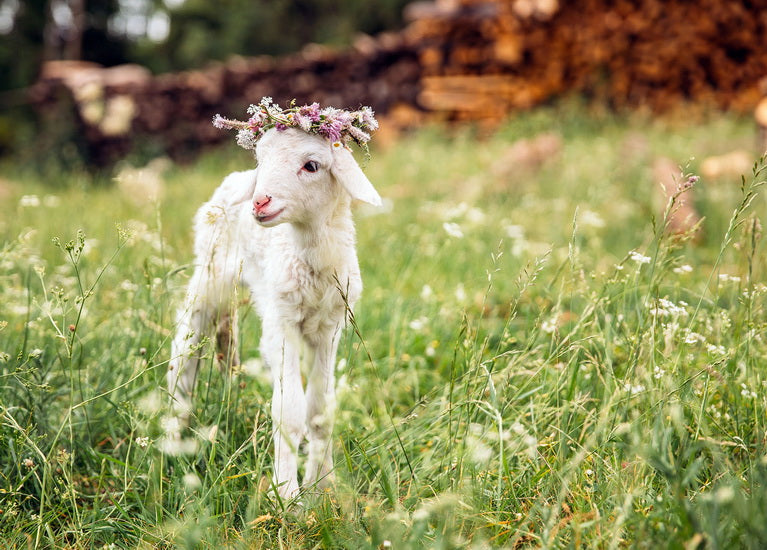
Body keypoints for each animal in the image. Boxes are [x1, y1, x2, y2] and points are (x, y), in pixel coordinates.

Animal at [167, 101, 381, 500]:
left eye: (311, 165)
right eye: (262, 160)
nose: (260, 201)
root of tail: (234, 179)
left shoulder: (330, 328)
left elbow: (320, 410)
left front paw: (323, 487)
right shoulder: (283, 323)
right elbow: (290, 411)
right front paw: (287, 494)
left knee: (225, 334)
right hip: (210, 270)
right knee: (187, 343)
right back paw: (174, 435)